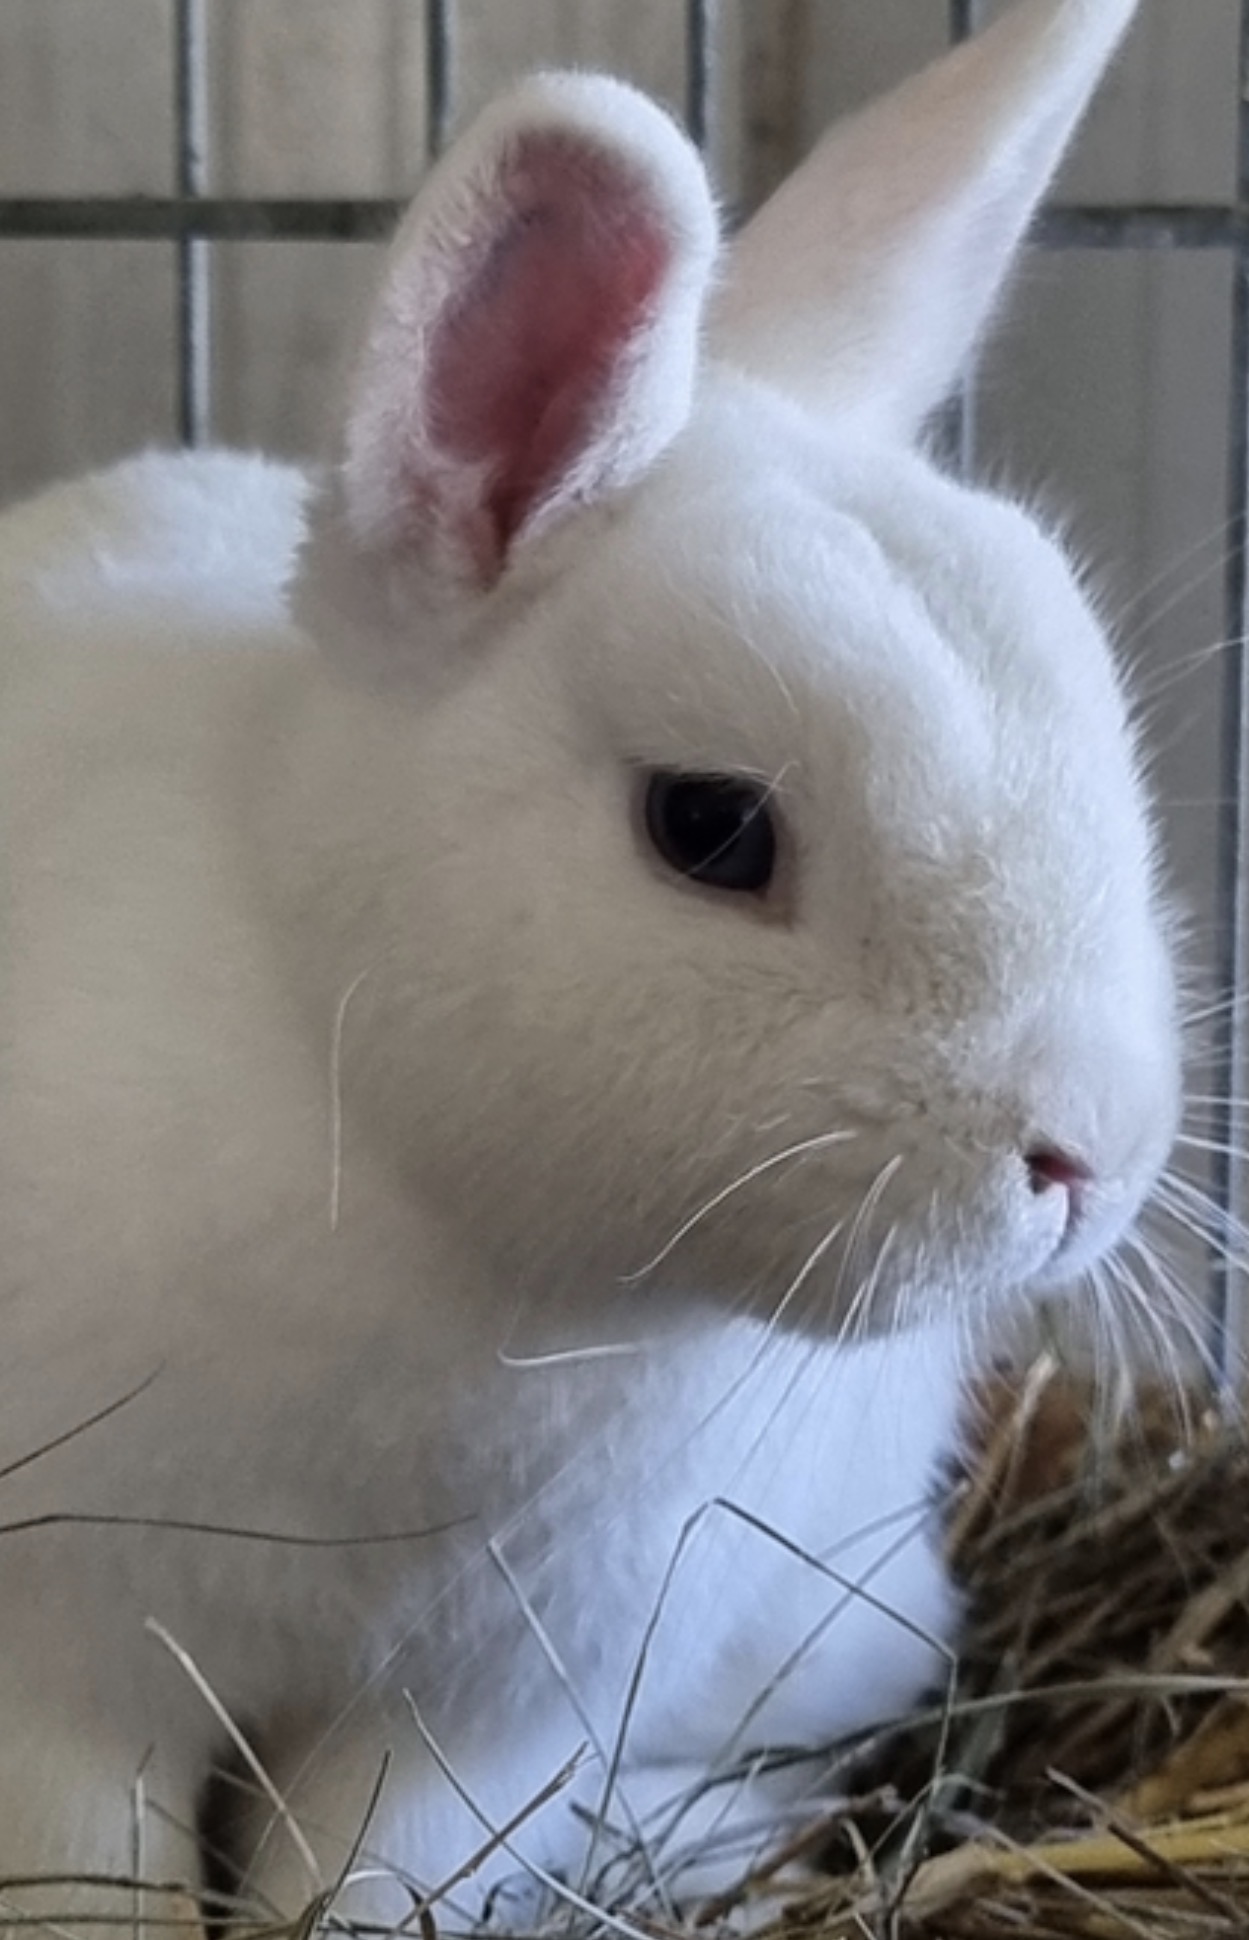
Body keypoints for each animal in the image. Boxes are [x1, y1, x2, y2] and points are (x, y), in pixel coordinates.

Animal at [0, 0, 1178, 1926]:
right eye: (708, 827)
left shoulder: (482, 1725)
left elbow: (372, 1888)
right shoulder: (64, 1675)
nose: (1086, 1161)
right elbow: (89, 1876)